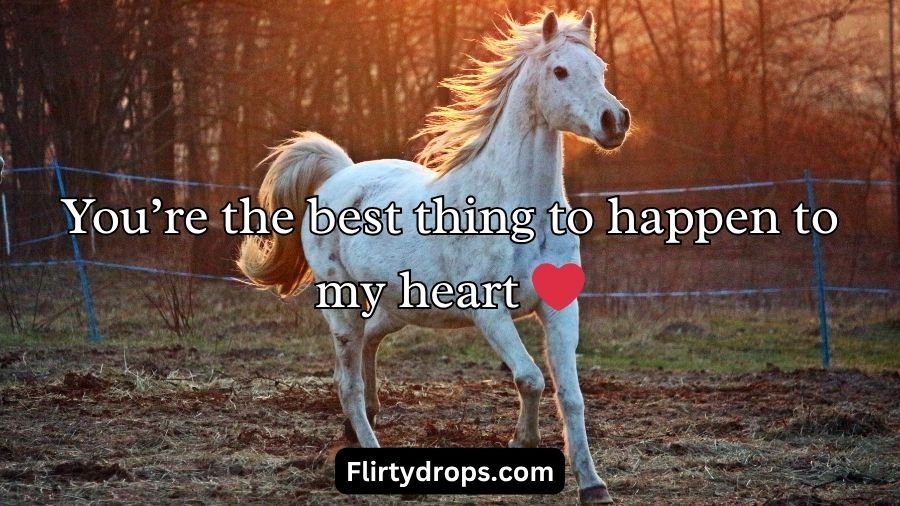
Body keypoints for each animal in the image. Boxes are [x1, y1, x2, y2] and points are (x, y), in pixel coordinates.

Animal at [238, 10, 630, 504]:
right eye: (560, 71)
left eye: (600, 69)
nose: (615, 121)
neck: (519, 212)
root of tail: (340, 175)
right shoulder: (489, 313)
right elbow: (530, 378)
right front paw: (523, 442)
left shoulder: (560, 307)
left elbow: (571, 395)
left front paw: (593, 485)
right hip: (343, 307)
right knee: (347, 382)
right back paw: (369, 446)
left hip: (395, 308)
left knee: (368, 348)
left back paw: (358, 424)